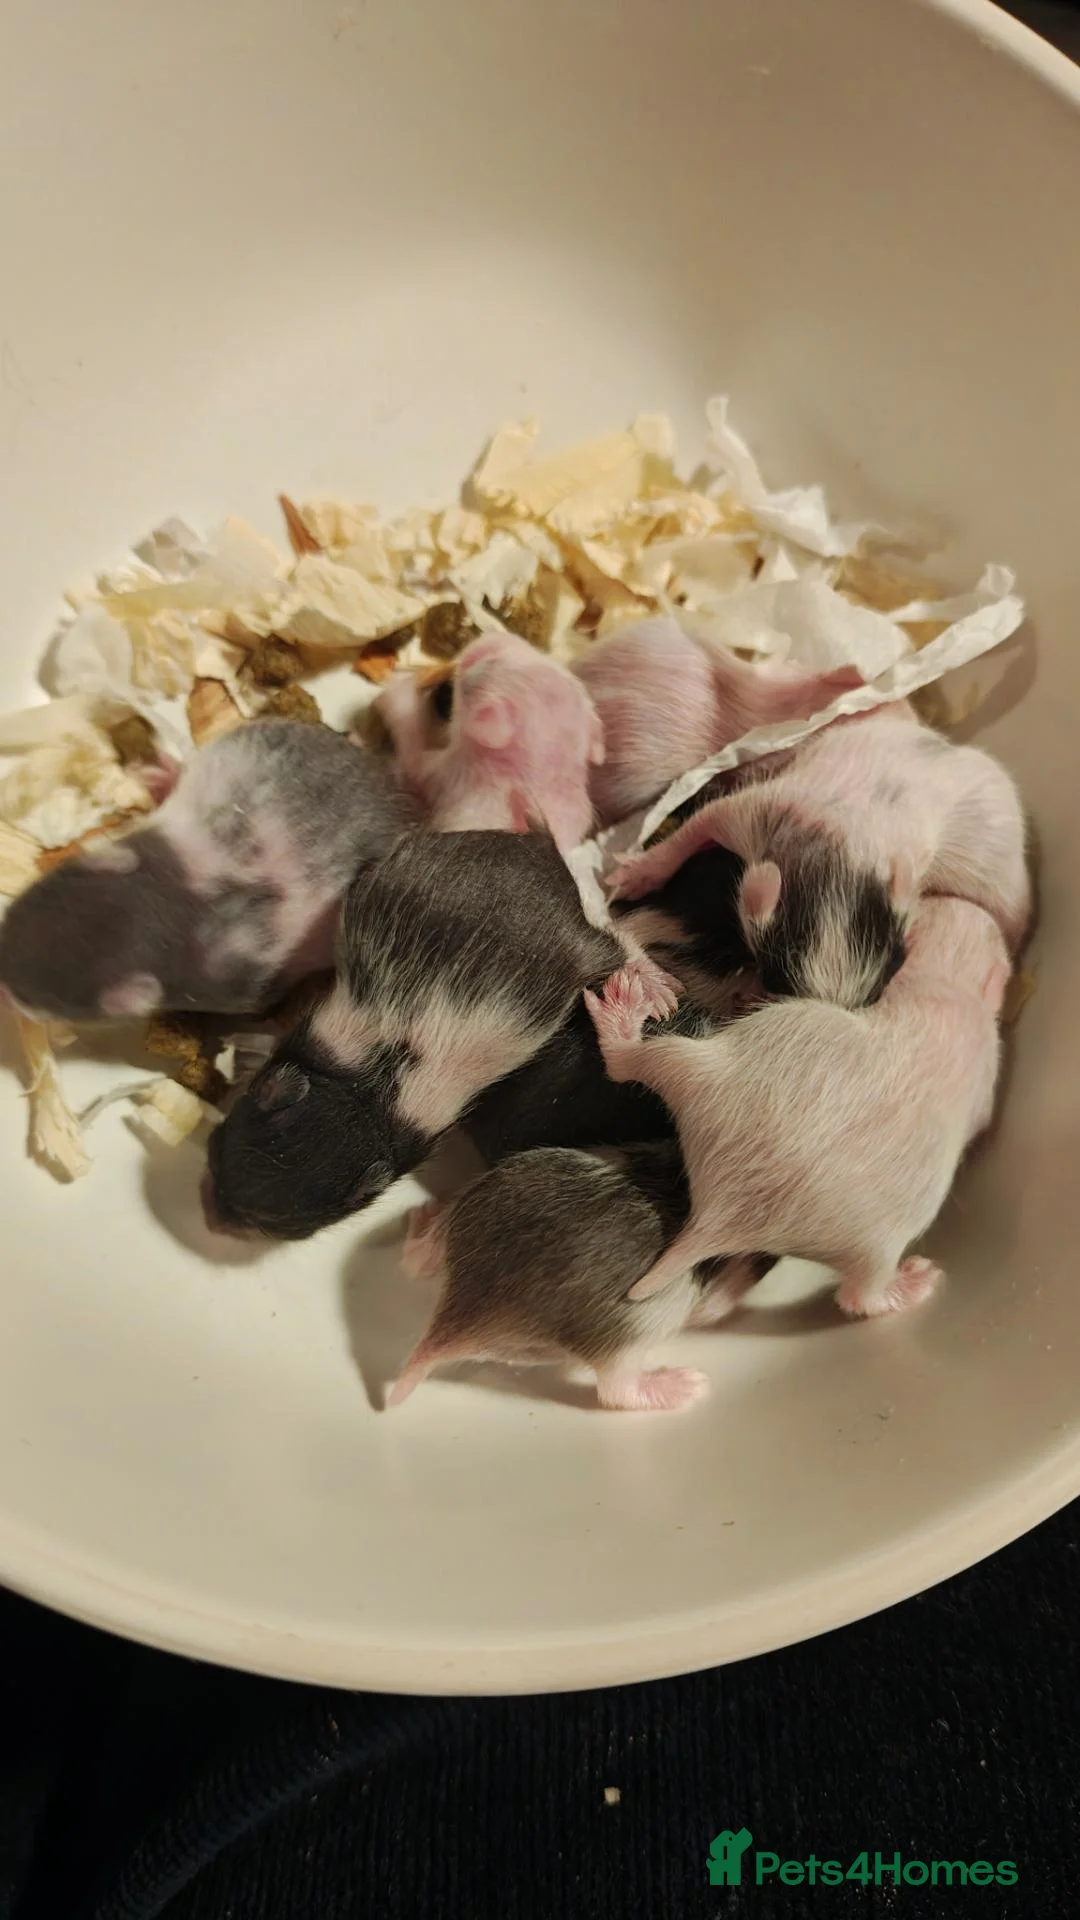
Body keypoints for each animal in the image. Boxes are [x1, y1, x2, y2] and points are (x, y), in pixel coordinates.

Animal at [204, 828, 679, 1240]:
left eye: (270, 1223)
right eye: (214, 1151)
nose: (212, 1222)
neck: (360, 1095)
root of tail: (539, 851)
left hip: (582, 953)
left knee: (618, 944)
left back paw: (655, 989)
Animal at [387, 1142, 771, 1410]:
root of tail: (463, 1312)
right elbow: (715, 1306)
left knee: (417, 1261)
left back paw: (423, 1222)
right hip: (635, 1331)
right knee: (616, 1390)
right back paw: (681, 1386)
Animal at [610, 705, 1030, 1007]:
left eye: (894, 970)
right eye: (774, 975)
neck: (842, 853)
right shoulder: (757, 812)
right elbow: (696, 828)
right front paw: (631, 875)